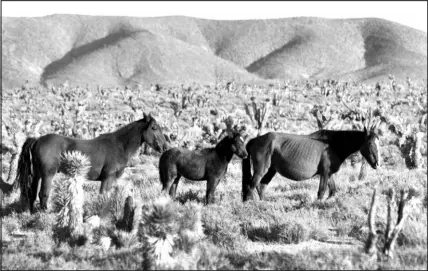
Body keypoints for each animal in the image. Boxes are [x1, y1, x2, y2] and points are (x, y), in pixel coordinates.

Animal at [15, 113, 169, 215]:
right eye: (154, 128)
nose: (165, 147)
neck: (119, 145)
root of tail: (37, 140)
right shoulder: (108, 178)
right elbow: (103, 197)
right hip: (47, 175)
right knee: (43, 194)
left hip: (37, 175)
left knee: (32, 193)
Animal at [242, 121, 380, 202]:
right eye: (370, 143)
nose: (377, 163)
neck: (333, 144)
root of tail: (255, 140)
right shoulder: (324, 174)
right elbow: (321, 192)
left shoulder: (328, 174)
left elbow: (332, 192)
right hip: (261, 170)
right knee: (251, 186)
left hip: (271, 170)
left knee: (261, 186)